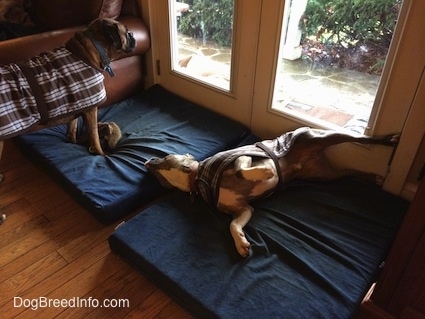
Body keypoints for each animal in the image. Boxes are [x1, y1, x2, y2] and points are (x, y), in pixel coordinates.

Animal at [146, 127, 398, 258]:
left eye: (164, 158)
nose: (147, 162)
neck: (198, 178)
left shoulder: (240, 158)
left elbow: (246, 169)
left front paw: (268, 174)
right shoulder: (243, 209)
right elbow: (233, 225)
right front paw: (241, 244)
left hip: (320, 138)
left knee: (357, 138)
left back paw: (390, 140)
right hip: (324, 175)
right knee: (349, 173)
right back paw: (375, 178)